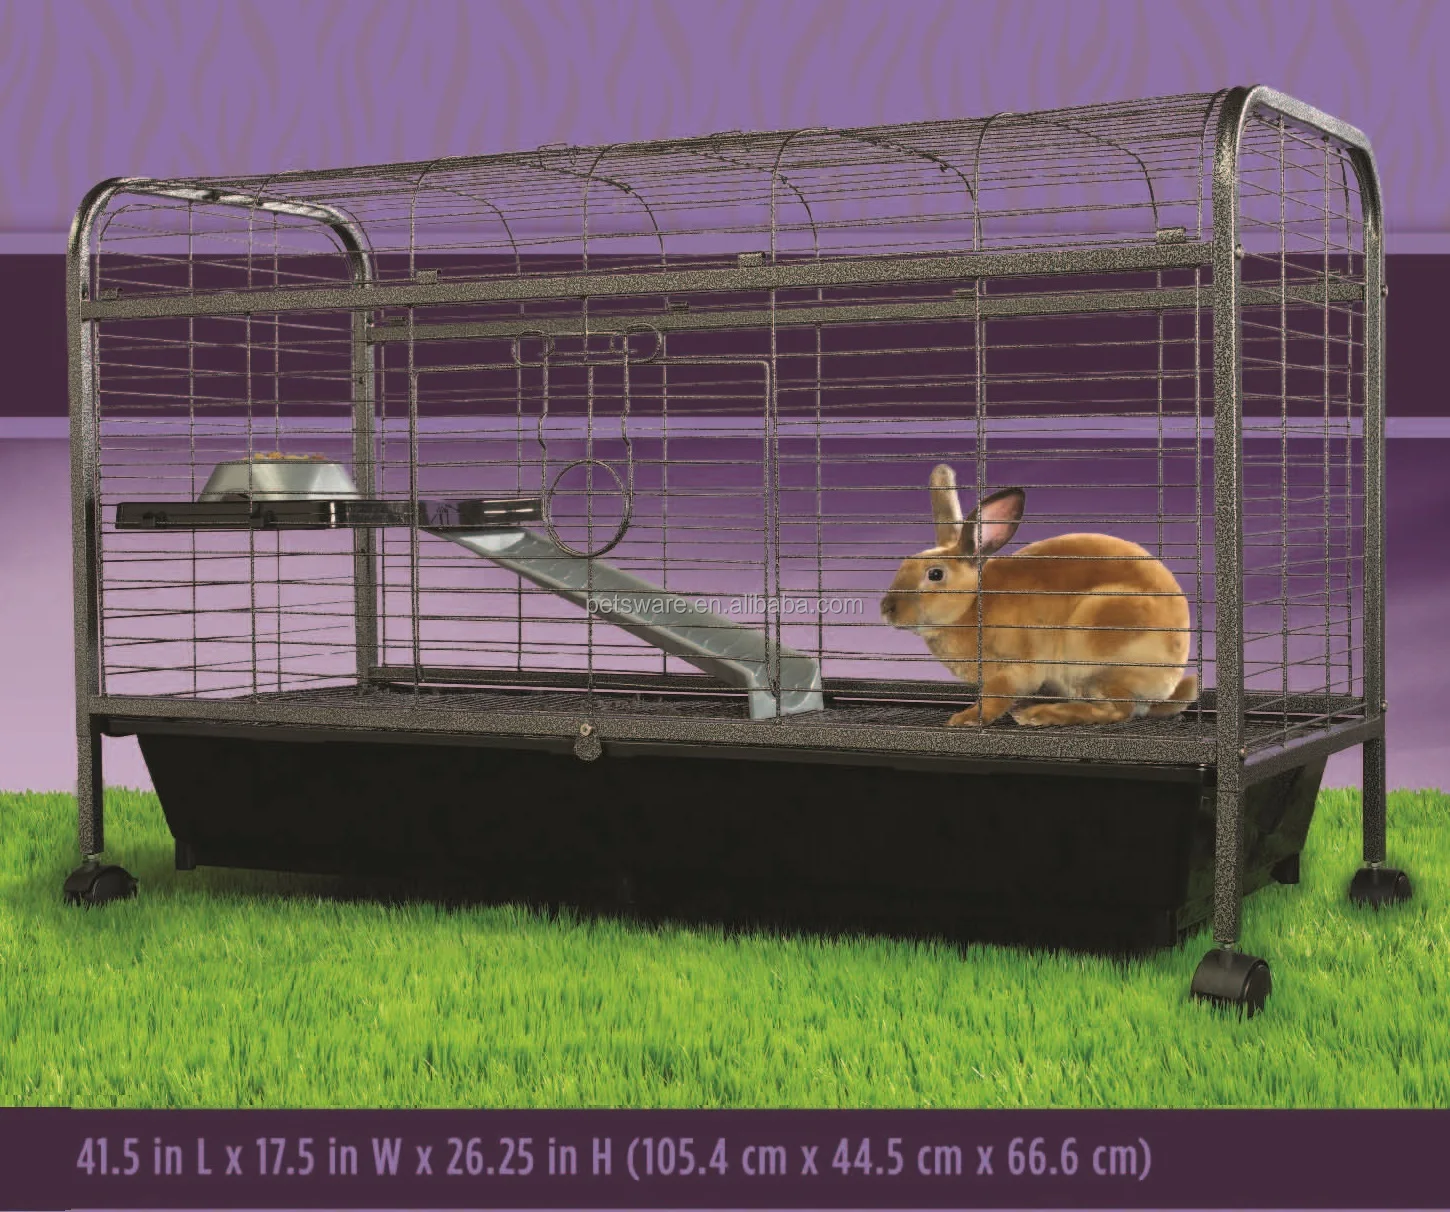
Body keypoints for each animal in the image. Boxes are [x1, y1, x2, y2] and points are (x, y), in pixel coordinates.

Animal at [879, 464, 1197, 728]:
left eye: (935, 574)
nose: (886, 608)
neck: (972, 605)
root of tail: (1168, 681)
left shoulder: (1015, 668)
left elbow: (995, 697)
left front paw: (965, 719)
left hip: (1096, 645)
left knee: (1117, 710)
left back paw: (1039, 715)